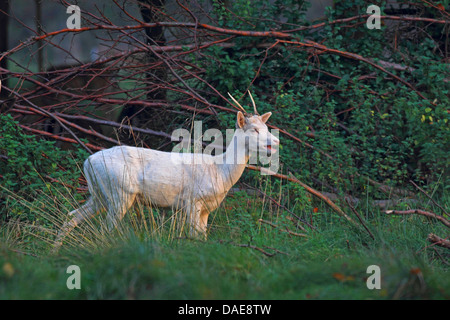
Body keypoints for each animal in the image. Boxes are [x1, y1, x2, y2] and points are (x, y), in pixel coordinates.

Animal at [52, 91, 278, 249]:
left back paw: (53, 252)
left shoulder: (206, 209)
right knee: (105, 229)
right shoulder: (192, 201)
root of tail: (88, 161)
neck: (220, 171)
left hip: (99, 194)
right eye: (254, 129)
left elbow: (202, 237)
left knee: (72, 216)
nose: (275, 141)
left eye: (266, 127)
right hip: (119, 193)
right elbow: (194, 236)